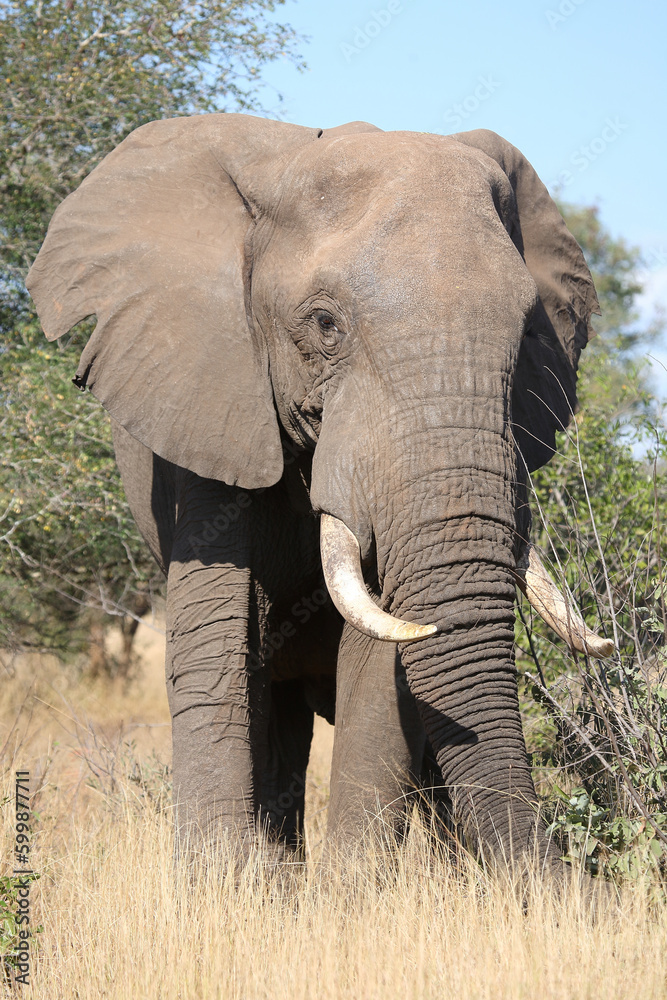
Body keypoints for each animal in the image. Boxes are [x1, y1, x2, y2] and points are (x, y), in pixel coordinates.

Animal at [26, 114, 614, 874]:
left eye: (529, 333)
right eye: (325, 325)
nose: (562, 879)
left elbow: (381, 665)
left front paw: (351, 891)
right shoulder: (208, 396)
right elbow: (219, 641)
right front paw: (221, 882)